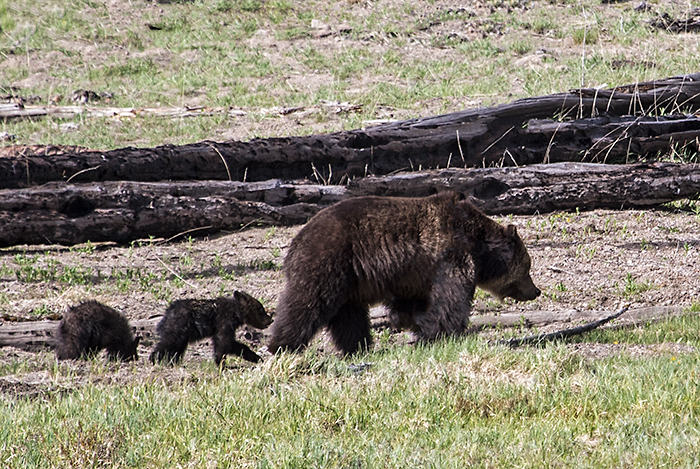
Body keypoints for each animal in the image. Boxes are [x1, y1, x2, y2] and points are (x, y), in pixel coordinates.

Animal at [267, 191, 540, 356]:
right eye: (527, 268)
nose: (536, 291)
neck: (478, 244)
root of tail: (296, 240)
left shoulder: (416, 272)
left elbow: (412, 302)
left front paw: (410, 323)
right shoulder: (451, 254)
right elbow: (450, 301)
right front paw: (436, 335)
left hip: (349, 282)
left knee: (349, 316)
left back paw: (359, 347)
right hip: (329, 260)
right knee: (306, 302)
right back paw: (281, 344)